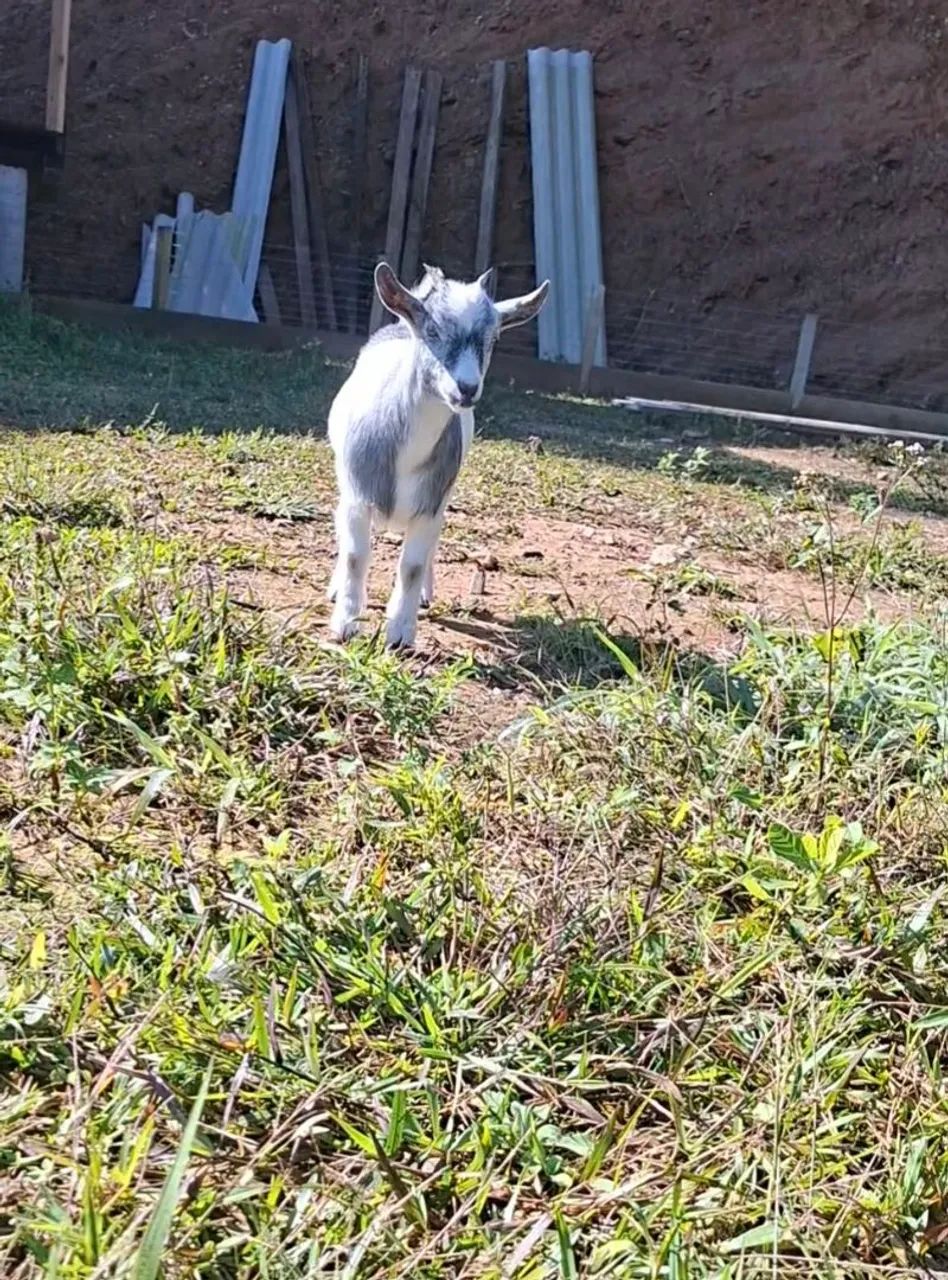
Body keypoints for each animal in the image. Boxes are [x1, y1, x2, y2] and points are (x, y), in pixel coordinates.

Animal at [327, 261, 549, 648]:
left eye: (494, 338)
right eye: (433, 330)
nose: (467, 388)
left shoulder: (430, 504)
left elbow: (412, 566)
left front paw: (400, 633)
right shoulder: (358, 496)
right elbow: (355, 556)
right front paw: (346, 624)